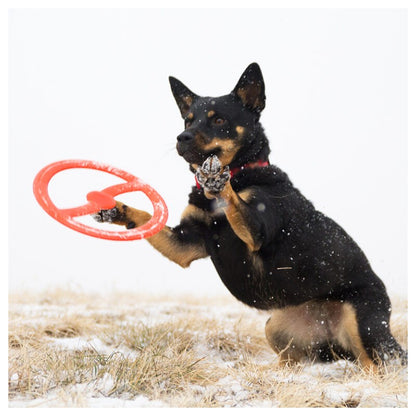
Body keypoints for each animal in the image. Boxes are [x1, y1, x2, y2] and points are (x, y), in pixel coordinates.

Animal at [93, 63, 406, 368]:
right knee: (297, 361)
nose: (182, 137)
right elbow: (146, 216)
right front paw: (115, 209)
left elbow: (234, 201)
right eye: (188, 121)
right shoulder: (185, 244)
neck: (243, 172)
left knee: (375, 364)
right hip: (277, 327)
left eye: (219, 120)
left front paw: (217, 178)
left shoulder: (257, 230)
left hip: (362, 323)